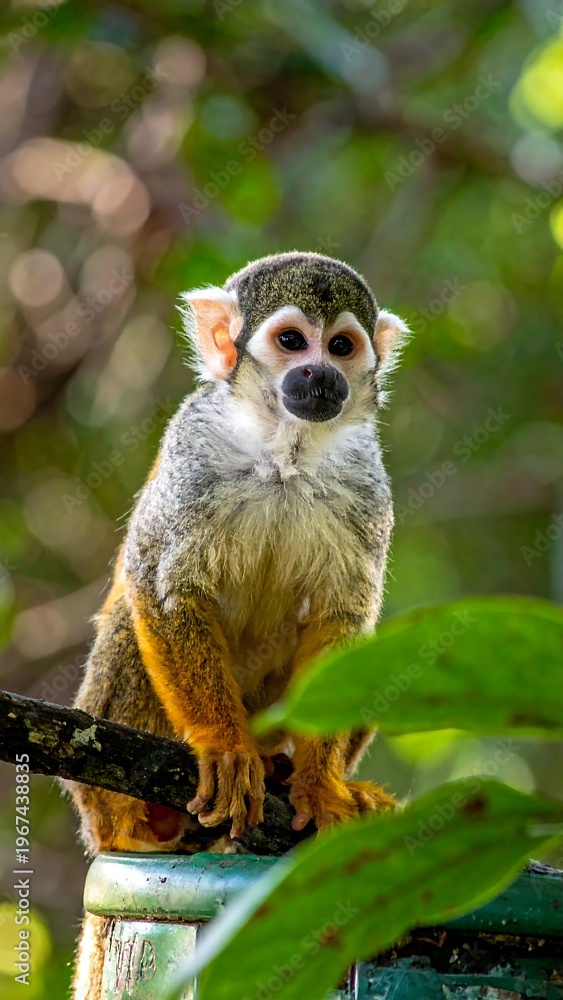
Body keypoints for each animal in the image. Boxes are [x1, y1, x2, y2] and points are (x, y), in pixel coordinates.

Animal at [68, 251, 408, 997]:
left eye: (342, 346)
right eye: (292, 342)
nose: (320, 375)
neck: (285, 449)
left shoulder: (366, 481)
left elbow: (345, 620)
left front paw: (318, 781)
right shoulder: (192, 445)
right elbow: (166, 586)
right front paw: (224, 746)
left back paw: (288, 770)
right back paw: (133, 817)